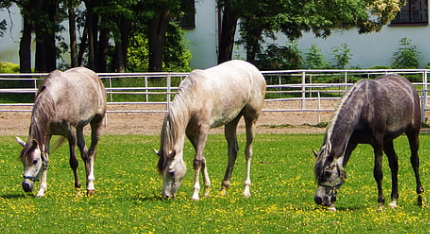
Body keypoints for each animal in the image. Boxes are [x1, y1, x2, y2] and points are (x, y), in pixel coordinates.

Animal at [16, 66, 106, 197]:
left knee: (91, 152)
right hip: (79, 128)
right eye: (23, 161)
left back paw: (90, 186)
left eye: (34, 161)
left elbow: (73, 162)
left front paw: (77, 189)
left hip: (97, 122)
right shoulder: (47, 135)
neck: (55, 100)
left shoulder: (70, 133)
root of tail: (94, 75)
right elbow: (46, 160)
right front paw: (41, 190)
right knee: (85, 154)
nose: (26, 186)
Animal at [153, 59, 268, 200]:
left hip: (251, 118)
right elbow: (202, 158)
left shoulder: (203, 129)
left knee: (248, 152)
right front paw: (206, 190)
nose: (166, 196)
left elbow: (197, 161)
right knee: (232, 151)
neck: (194, 95)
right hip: (232, 120)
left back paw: (246, 190)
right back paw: (223, 188)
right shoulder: (190, 132)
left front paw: (195, 194)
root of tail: (255, 71)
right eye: (161, 172)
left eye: (171, 172)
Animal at [314, 74, 424, 210]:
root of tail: (408, 86)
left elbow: (378, 173)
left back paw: (420, 198)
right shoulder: (351, 144)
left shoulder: (377, 143)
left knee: (415, 161)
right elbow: (342, 167)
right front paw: (332, 204)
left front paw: (380, 203)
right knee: (394, 163)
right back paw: (393, 201)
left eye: (328, 173)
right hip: (388, 140)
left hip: (412, 133)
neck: (363, 107)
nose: (319, 199)